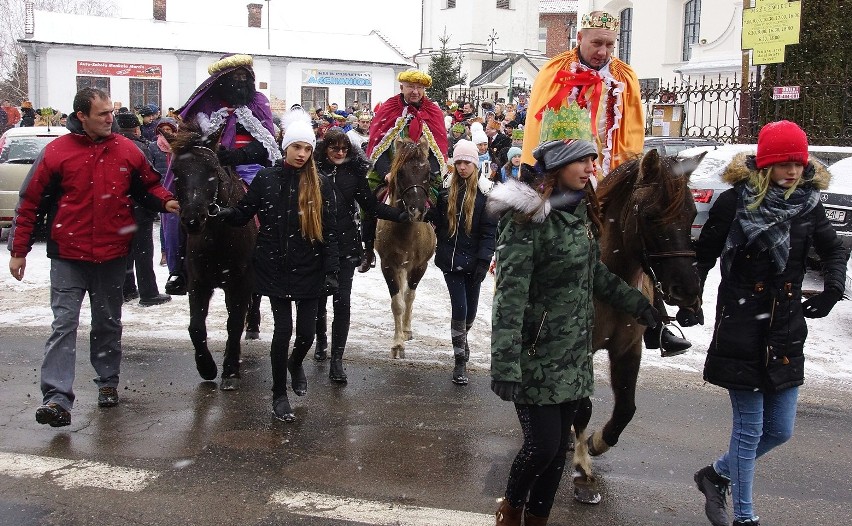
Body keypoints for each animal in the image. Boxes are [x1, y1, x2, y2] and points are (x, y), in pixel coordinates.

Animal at [163, 125, 256, 392]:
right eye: (176, 171)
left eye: (212, 169)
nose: (194, 219)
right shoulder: (199, 283)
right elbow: (196, 326)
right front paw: (206, 367)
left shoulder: (240, 283)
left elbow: (234, 323)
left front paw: (230, 371)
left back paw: (253, 328)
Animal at [374, 137, 436, 358]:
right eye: (400, 172)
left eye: (428, 172)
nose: (416, 210)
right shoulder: (388, 265)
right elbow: (397, 303)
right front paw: (397, 343)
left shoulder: (419, 266)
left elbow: (409, 296)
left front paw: (405, 331)